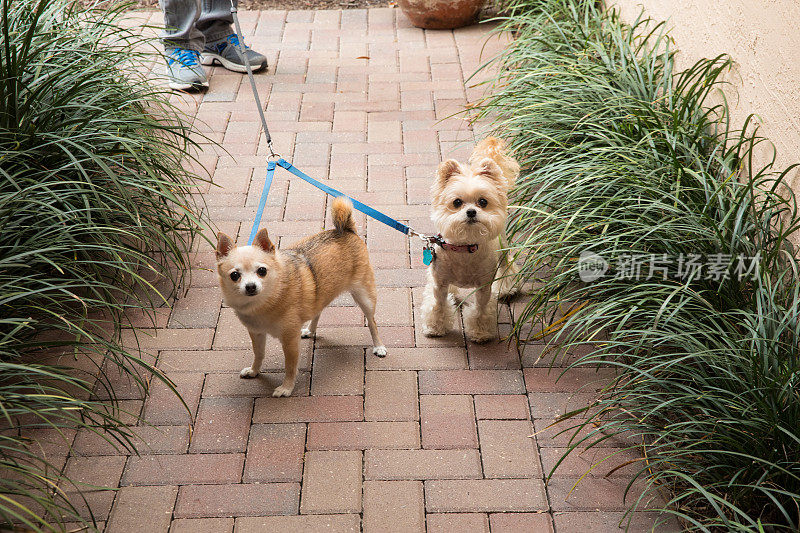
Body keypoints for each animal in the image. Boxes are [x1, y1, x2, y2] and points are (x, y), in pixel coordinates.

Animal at [422, 137, 520, 342]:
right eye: (457, 202)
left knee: (507, 266)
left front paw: (481, 332)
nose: (471, 212)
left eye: (483, 202)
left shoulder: (483, 287)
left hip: (503, 248)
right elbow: (438, 305)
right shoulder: (439, 284)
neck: (464, 249)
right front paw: (435, 327)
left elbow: (481, 309)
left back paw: (507, 288)